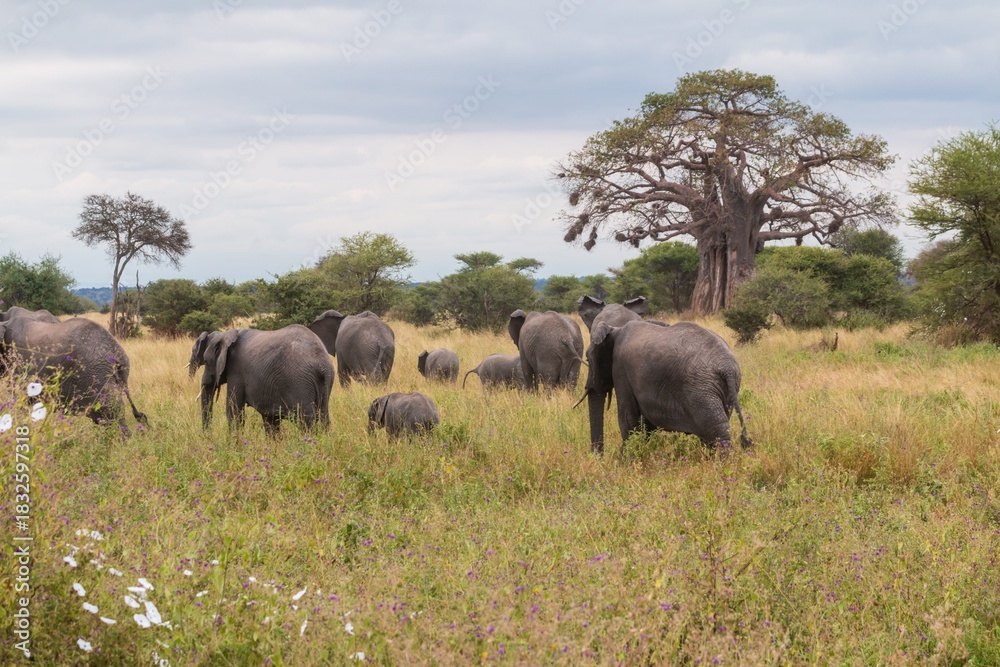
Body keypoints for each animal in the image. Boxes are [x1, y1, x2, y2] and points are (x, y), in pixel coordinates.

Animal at [189, 325, 334, 435]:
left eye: (206, 361)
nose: (207, 436)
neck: (226, 335)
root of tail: (322, 365)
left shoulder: (236, 372)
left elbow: (234, 412)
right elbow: (270, 420)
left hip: (299, 383)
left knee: (306, 420)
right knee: (324, 418)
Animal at [579, 320, 750, 455]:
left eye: (587, 358)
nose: (598, 457)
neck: (615, 329)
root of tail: (727, 366)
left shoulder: (621, 369)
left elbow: (628, 420)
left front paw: (625, 460)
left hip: (701, 389)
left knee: (716, 431)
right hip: (723, 388)